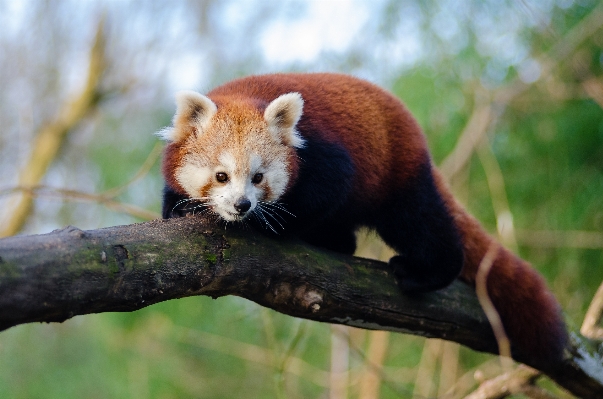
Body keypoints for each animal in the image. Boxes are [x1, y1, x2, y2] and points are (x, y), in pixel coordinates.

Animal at [158, 72, 568, 368]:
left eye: (258, 177)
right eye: (221, 176)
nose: (242, 205)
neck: (245, 94)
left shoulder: (324, 154)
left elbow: (326, 190)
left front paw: (269, 224)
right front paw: (182, 207)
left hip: (396, 175)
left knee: (420, 223)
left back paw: (426, 270)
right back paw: (336, 242)